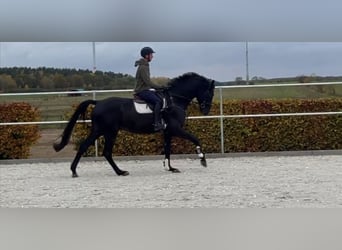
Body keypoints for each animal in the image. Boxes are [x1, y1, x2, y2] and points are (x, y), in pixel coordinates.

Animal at [53, 72, 214, 178]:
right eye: (209, 93)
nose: (206, 111)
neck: (174, 100)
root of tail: (98, 103)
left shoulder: (168, 132)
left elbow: (168, 150)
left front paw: (170, 168)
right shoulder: (176, 129)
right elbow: (195, 139)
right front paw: (203, 159)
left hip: (104, 131)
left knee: (94, 149)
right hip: (107, 131)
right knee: (100, 150)